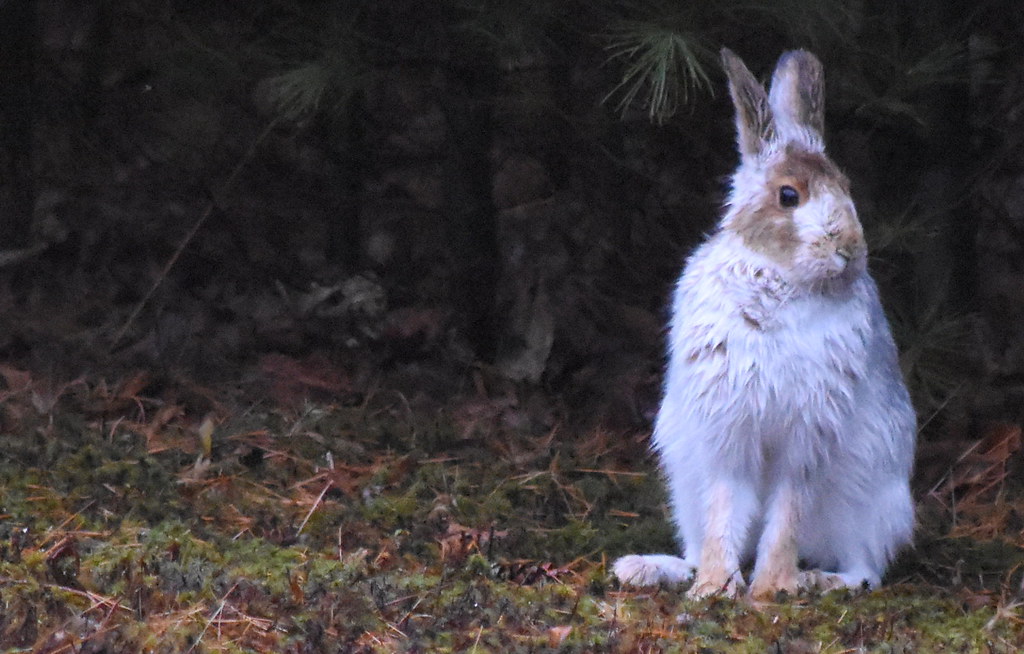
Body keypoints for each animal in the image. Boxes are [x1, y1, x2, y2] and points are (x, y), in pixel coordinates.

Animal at [612, 48, 916, 601]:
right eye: (788, 196)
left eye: (846, 189)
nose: (849, 251)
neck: (783, 279)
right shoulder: (727, 430)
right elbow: (724, 509)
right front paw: (714, 588)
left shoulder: (808, 435)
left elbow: (788, 514)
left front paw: (770, 590)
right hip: (683, 479)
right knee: (697, 542)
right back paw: (650, 569)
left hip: (874, 504)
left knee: (865, 570)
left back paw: (817, 579)